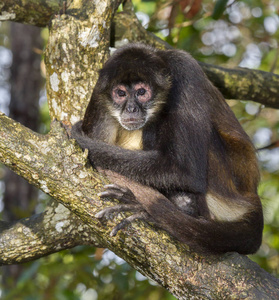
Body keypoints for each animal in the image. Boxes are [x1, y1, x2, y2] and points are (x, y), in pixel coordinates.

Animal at [71, 42, 264, 253]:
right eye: (120, 94)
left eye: (141, 92)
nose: (131, 109)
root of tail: (250, 195)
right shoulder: (100, 89)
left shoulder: (185, 69)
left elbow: (185, 172)